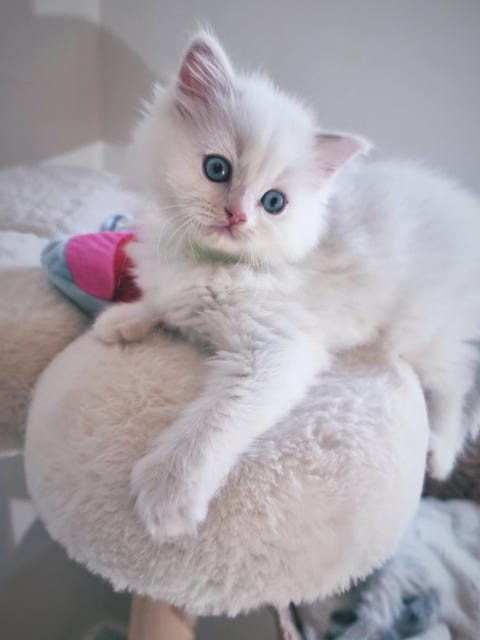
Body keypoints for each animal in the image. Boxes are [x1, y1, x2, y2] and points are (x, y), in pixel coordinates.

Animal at [94, 30, 480, 540]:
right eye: (217, 169)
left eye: (274, 202)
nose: (237, 216)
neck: (209, 264)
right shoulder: (172, 284)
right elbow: (160, 301)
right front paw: (121, 319)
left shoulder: (277, 349)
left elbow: (214, 422)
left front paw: (169, 493)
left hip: (420, 329)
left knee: (457, 380)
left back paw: (439, 454)